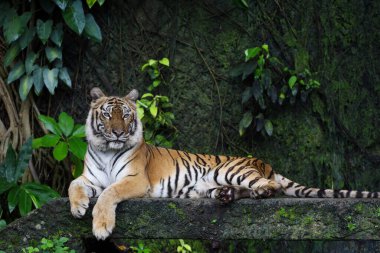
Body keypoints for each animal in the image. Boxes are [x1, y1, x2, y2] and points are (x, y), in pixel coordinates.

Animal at [68, 88, 380, 240]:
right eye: (107, 115)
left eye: (126, 115)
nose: (118, 133)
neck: (107, 150)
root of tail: (261, 161)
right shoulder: (90, 179)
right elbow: (74, 184)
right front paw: (78, 207)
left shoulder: (135, 180)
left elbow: (109, 194)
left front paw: (101, 227)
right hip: (203, 185)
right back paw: (226, 195)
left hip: (231, 169)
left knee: (272, 186)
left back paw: (258, 191)